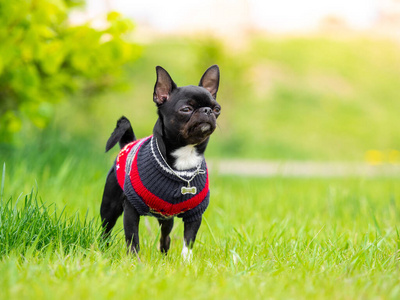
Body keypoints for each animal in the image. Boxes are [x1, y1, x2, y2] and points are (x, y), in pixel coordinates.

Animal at [99, 65, 219, 260]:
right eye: (186, 109)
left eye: (216, 109)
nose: (207, 111)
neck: (184, 159)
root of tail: (128, 142)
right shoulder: (130, 210)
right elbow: (132, 238)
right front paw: (134, 261)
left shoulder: (194, 214)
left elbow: (188, 241)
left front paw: (186, 262)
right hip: (109, 207)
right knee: (105, 231)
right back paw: (102, 250)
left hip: (166, 218)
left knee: (165, 236)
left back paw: (164, 255)